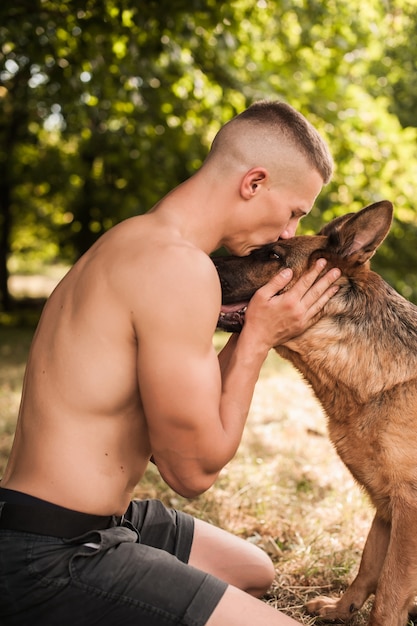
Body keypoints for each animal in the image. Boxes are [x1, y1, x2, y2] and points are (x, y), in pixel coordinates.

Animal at [213, 201, 416, 624]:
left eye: (273, 256)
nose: (202, 260)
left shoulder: (409, 508)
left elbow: (390, 590)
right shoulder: (387, 506)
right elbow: (369, 565)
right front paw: (342, 608)